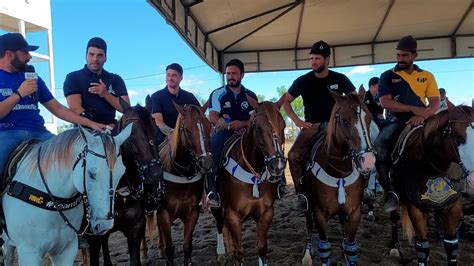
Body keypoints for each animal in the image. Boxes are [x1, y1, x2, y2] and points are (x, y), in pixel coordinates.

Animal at [153, 103, 212, 264]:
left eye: (208, 126)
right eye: (187, 130)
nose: (206, 163)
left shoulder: (193, 212)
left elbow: (187, 246)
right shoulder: (163, 213)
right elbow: (169, 249)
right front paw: (165, 251)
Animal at [210, 101, 286, 264]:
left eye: (283, 125)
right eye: (258, 127)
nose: (277, 165)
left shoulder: (266, 214)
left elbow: (262, 249)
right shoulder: (233, 215)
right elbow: (239, 253)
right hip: (216, 206)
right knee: (219, 223)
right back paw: (221, 252)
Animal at [300, 88, 378, 264]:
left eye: (369, 118)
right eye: (345, 120)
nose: (368, 160)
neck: (338, 171)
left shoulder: (354, 213)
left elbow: (351, 247)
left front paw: (346, 250)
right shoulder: (320, 214)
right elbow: (324, 248)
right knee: (308, 225)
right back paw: (307, 254)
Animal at [386, 105, 472, 264]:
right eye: (458, 137)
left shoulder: (453, 206)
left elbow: (451, 245)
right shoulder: (415, 208)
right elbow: (422, 246)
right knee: (394, 216)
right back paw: (395, 246)